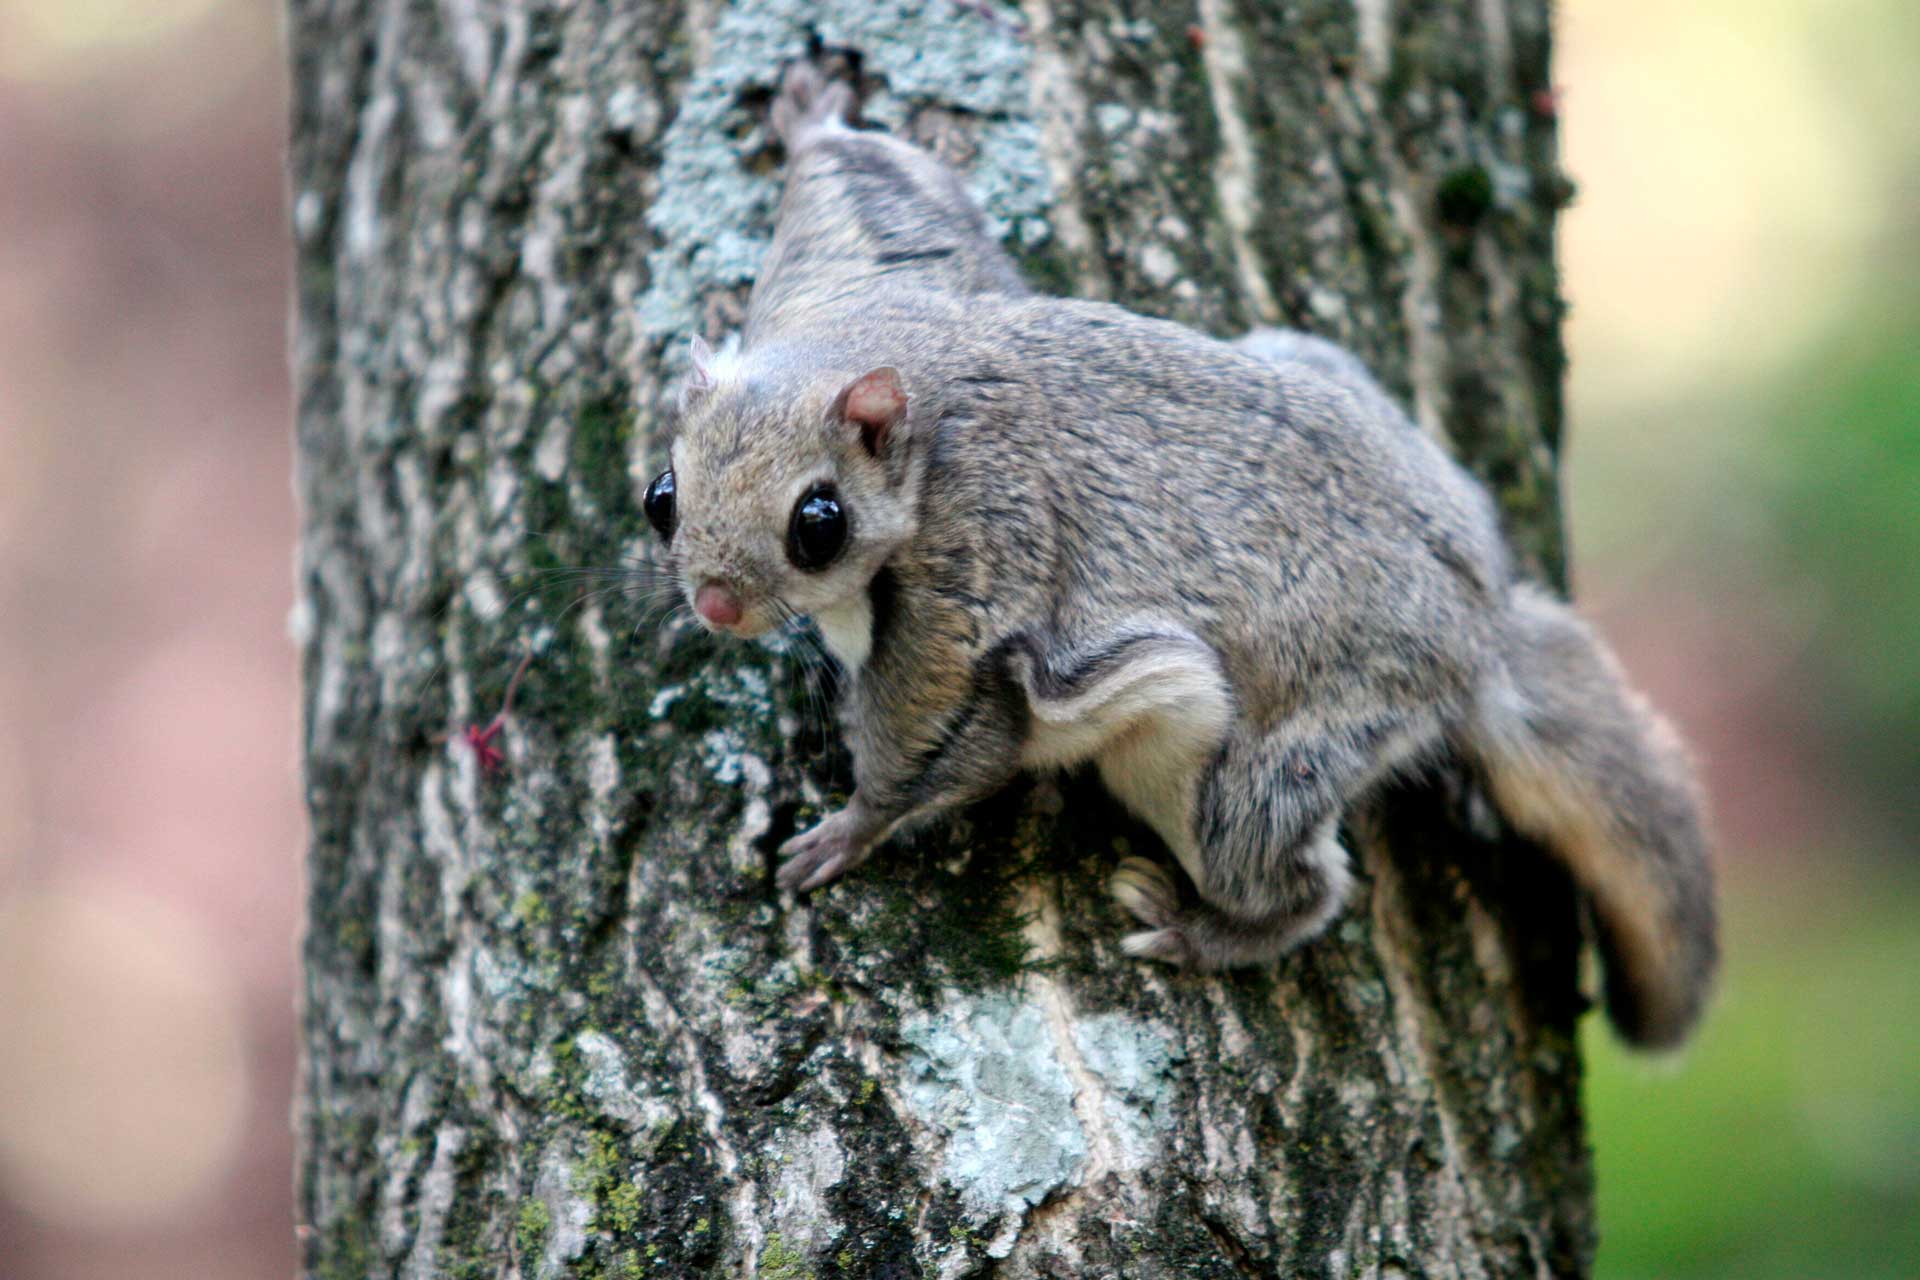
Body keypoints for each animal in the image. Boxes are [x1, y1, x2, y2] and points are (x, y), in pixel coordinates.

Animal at [645, 62, 1712, 1051]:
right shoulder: (874, 259)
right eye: (662, 497)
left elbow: (938, 740)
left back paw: (1199, 930)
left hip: (1255, 768)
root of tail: (1480, 620)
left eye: (817, 522)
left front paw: (850, 829)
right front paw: (811, 120)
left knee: (1296, 884)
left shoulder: (970, 578)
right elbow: (873, 180)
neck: (888, 367)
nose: (716, 606)